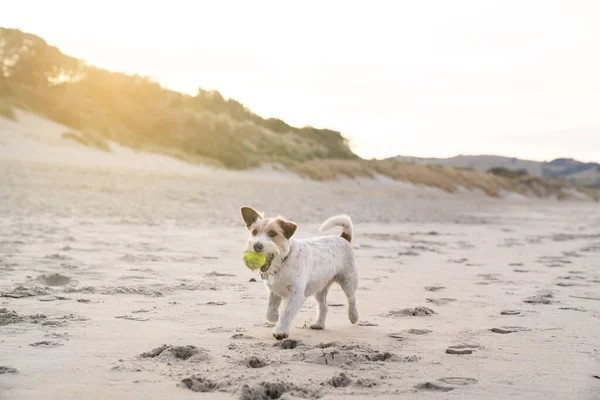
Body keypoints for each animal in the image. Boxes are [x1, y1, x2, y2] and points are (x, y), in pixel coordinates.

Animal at [240, 206, 360, 340]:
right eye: (254, 232)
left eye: (273, 233)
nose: (257, 246)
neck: (282, 263)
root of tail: (343, 238)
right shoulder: (274, 292)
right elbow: (270, 312)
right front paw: (276, 317)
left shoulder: (296, 294)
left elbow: (286, 313)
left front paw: (280, 331)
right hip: (319, 287)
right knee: (324, 305)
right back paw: (319, 324)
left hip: (348, 280)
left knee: (352, 298)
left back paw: (353, 316)